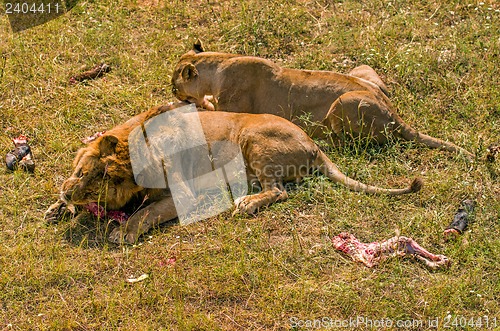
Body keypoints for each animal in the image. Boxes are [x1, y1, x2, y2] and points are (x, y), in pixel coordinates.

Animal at [46, 102, 422, 245]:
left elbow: (146, 212)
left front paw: (123, 232)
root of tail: (314, 144)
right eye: (82, 171)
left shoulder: (183, 197)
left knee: (279, 191)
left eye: (99, 185)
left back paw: (247, 203)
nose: (70, 193)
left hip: (253, 138)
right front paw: (58, 208)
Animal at [171, 41, 472, 160]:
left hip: (345, 102)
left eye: (174, 83)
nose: (172, 91)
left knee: (352, 144)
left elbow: (205, 111)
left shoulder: (232, 110)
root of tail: (396, 116)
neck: (219, 62)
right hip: (363, 71)